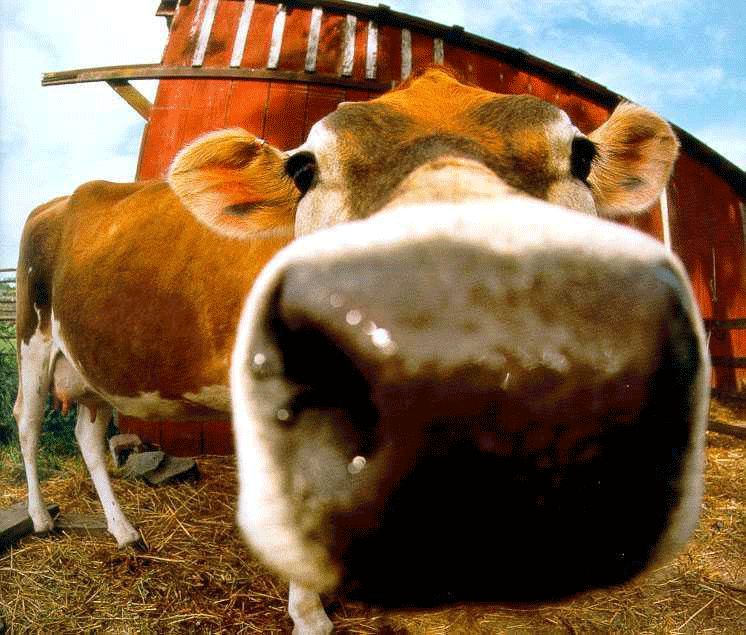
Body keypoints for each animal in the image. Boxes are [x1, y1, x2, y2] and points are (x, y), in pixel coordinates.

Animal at [16, 67, 708, 634]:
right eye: (305, 169)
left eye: (581, 154)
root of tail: (68, 196)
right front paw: (310, 611)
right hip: (31, 336)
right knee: (27, 424)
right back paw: (44, 519)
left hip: (91, 367)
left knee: (88, 435)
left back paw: (124, 531)